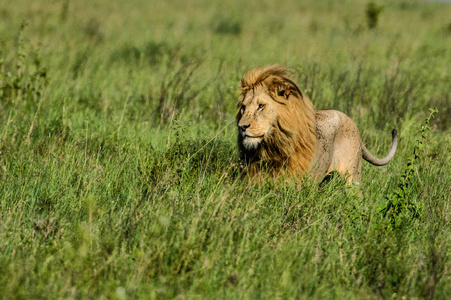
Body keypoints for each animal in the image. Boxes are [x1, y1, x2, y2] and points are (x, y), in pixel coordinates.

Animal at [238, 64, 398, 184]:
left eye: (261, 106)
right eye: (243, 107)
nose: (242, 127)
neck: (272, 146)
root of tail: (350, 120)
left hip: (353, 176)